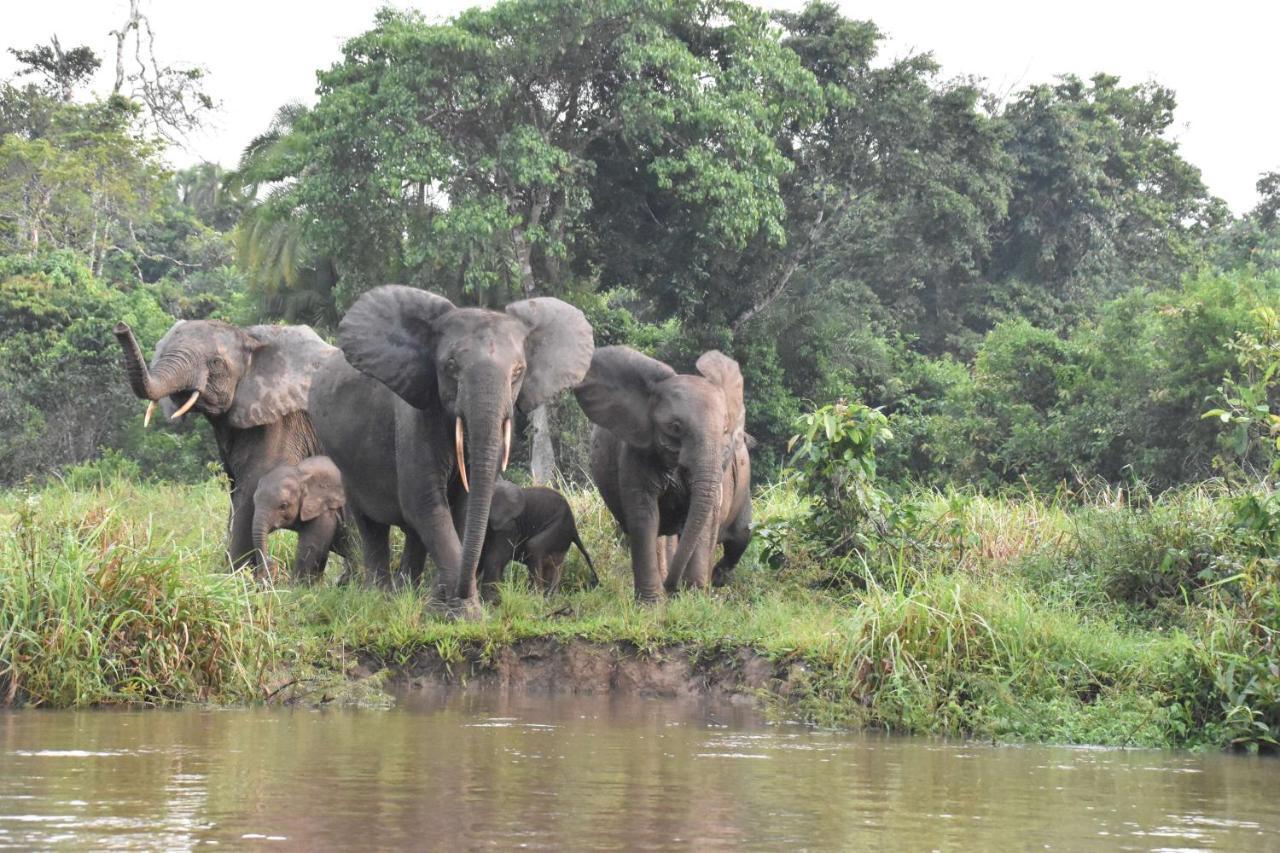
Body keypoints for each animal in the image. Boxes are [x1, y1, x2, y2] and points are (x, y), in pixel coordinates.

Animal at [115, 318, 337, 578]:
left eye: (216, 363)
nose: (120, 326)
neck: (251, 340)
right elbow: (236, 489)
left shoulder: (283, 422)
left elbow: (252, 486)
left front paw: (234, 578)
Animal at [309, 284, 593, 612]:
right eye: (451, 366)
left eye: (518, 371)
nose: (461, 593)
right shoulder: (414, 417)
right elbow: (425, 503)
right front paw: (461, 612)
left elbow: (462, 508)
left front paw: (445, 606)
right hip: (344, 460)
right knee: (371, 525)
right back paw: (381, 598)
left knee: (412, 533)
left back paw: (405, 593)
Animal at [578, 343, 747, 596]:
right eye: (675, 427)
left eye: (725, 429)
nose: (671, 587)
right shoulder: (635, 452)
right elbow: (643, 513)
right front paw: (652, 602)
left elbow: (706, 516)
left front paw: (694, 596)